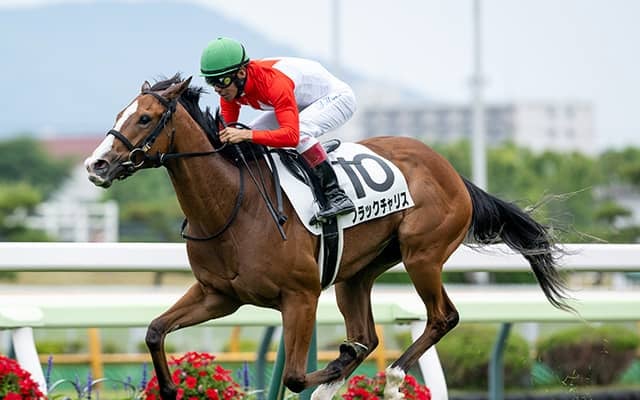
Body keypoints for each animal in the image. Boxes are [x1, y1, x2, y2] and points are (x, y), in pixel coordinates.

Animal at [84, 75, 572, 400]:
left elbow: (295, 376)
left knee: (441, 317)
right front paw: (168, 387)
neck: (233, 205)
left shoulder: (300, 297)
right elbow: (154, 331)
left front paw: (334, 367)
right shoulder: (217, 295)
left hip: (423, 255)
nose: (96, 164)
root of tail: (452, 171)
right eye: (119, 114)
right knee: (368, 335)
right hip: (355, 274)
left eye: (144, 117)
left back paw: (392, 378)